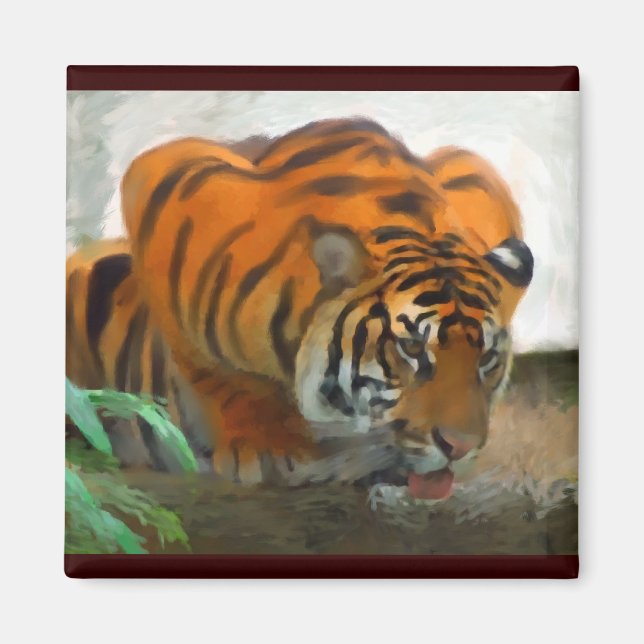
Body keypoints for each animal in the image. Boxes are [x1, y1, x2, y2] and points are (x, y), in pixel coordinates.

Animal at [66, 118, 533, 499]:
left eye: (487, 358)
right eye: (413, 348)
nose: (461, 447)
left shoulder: (478, 177)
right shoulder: (170, 182)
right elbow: (209, 365)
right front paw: (260, 446)